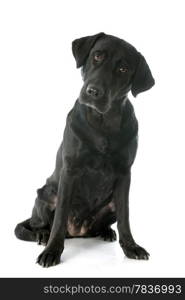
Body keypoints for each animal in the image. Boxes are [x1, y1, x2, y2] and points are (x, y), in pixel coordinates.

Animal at [14, 32, 155, 268]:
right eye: (97, 56)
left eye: (123, 69)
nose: (93, 91)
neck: (102, 123)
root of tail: (78, 231)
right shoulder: (70, 170)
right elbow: (60, 218)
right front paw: (52, 251)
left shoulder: (124, 175)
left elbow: (125, 218)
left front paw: (131, 247)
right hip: (45, 195)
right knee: (36, 225)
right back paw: (42, 235)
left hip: (110, 206)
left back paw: (106, 232)